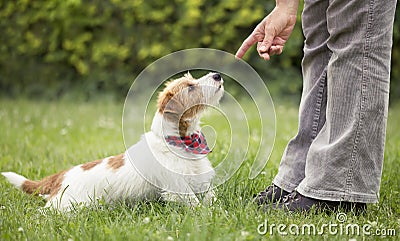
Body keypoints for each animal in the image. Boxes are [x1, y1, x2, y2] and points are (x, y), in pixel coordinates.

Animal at [1, 72, 223, 211]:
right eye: (191, 87)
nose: (217, 75)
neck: (180, 142)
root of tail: (61, 176)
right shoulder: (178, 188)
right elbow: (196, 206)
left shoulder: (201, 181)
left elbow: (211, 199)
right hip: (66, 206)